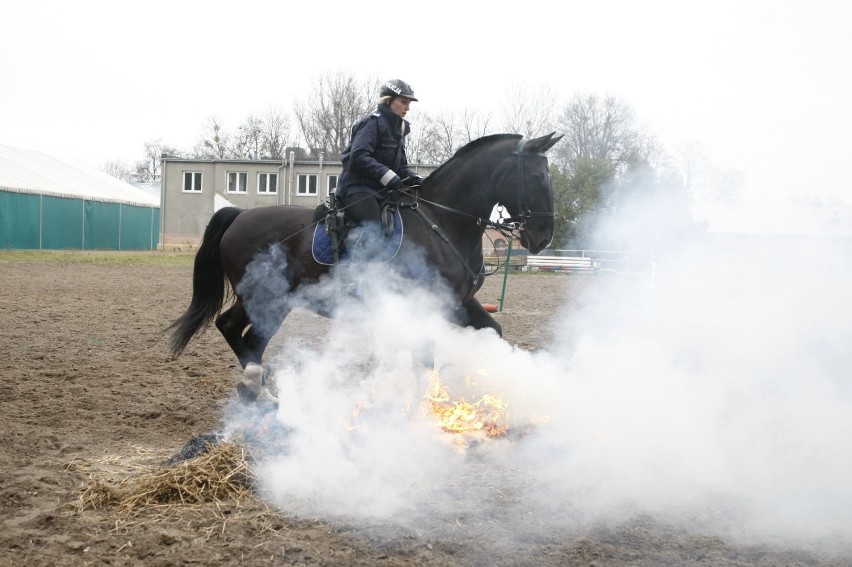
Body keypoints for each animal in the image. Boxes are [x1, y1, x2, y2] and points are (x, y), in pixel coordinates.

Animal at [170, 132, 564, 404]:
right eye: (536, 177)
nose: (543, 237)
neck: (442, 220)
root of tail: (239, 215)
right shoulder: (427, 306)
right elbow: (425, 358)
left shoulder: (459, 303)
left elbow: (492, 331)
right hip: (263, 298)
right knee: (231, 327)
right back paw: (255, 384)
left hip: (274, 302)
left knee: (250, 337)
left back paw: (260, 392)